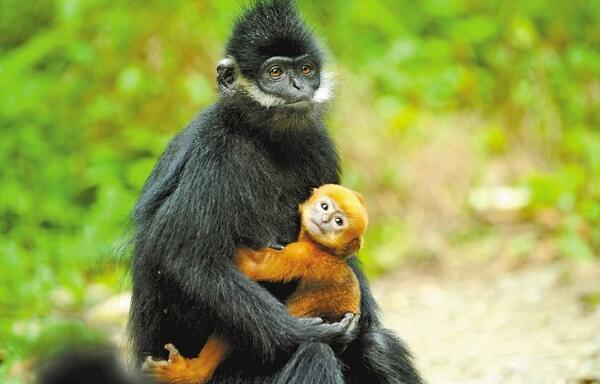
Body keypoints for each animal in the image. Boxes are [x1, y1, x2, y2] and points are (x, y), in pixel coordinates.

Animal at [147, 184, 368, 382]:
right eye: (325, 206)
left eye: (338, 221)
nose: (324, 220)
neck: (324, 249)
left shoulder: (304, 254)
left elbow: (257, 266)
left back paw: (191, 373)